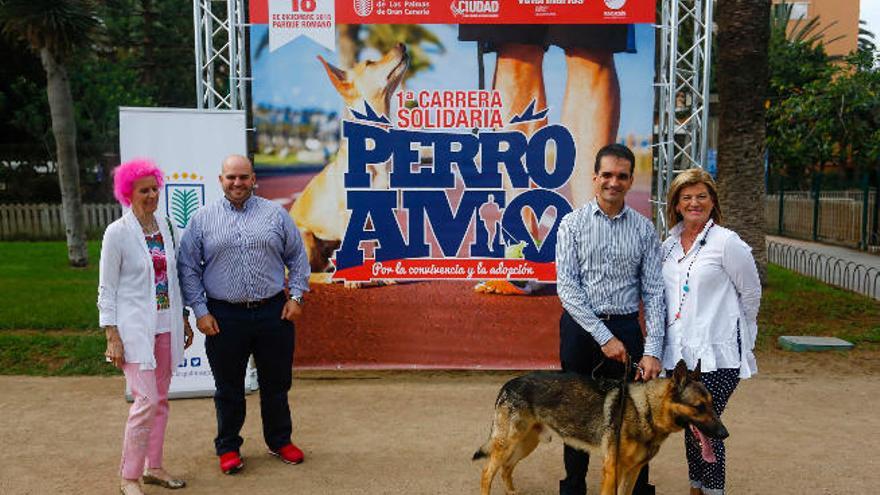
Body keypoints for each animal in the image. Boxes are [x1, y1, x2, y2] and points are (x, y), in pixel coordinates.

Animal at [474, 360, 728, 495]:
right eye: (699, 407)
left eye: (712, 405)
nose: (724, 434)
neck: (645, 410)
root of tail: (509, 383)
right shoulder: (612, 470)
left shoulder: (633, 471)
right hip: (508, 443)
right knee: (487, 472)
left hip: (526, 444)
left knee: (506, 468)